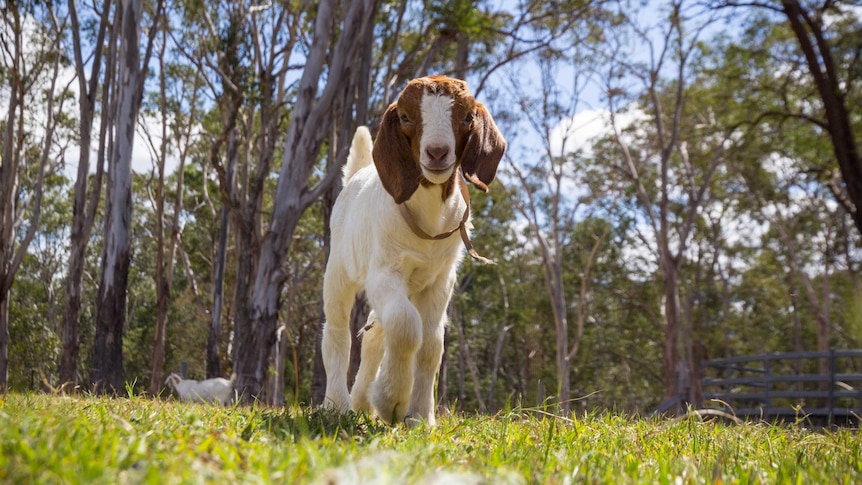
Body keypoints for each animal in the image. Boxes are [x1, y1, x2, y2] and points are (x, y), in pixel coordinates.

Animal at [322, 74, 506, 424]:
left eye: (467, 117)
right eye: (406, 117)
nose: (437, 152)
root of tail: (355, 177)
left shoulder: (440, 280)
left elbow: (431, 344)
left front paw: (419, 415)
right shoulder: (384, 271)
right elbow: (406, 326)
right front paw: (392, 401)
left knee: (374, 334)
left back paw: (361, 401)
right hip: (339, 270)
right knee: (337, 332)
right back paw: (335, 404)